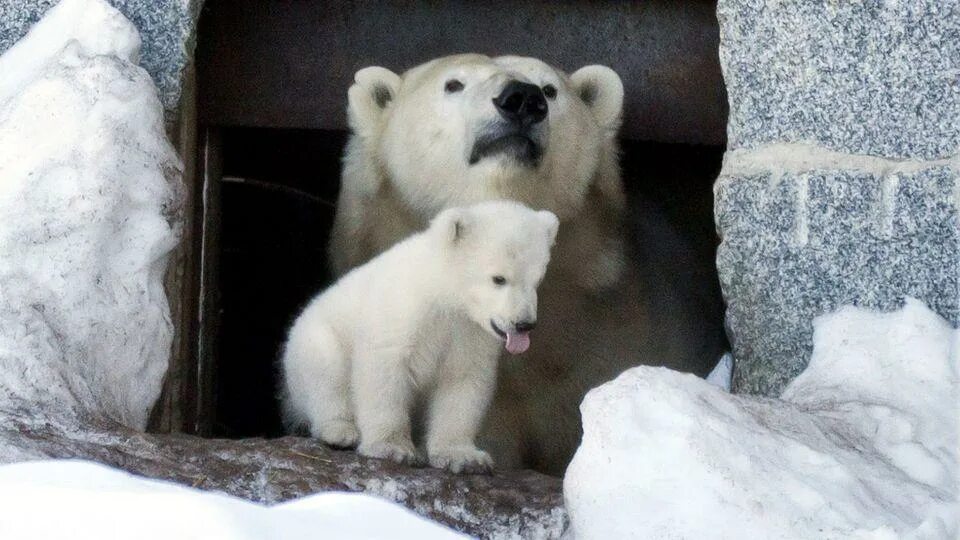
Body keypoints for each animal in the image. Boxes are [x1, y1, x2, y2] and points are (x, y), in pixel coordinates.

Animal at [282, 199, 560, 472]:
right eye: (499, 278)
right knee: (326, 373)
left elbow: (462, 381)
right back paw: (340, 430)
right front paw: (392, 448)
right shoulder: (402, 312)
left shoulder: (470, 333)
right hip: (314, 339)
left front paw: (463, 456)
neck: (441, 292)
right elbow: (384, 371)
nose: (524, 324)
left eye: (537, 279)